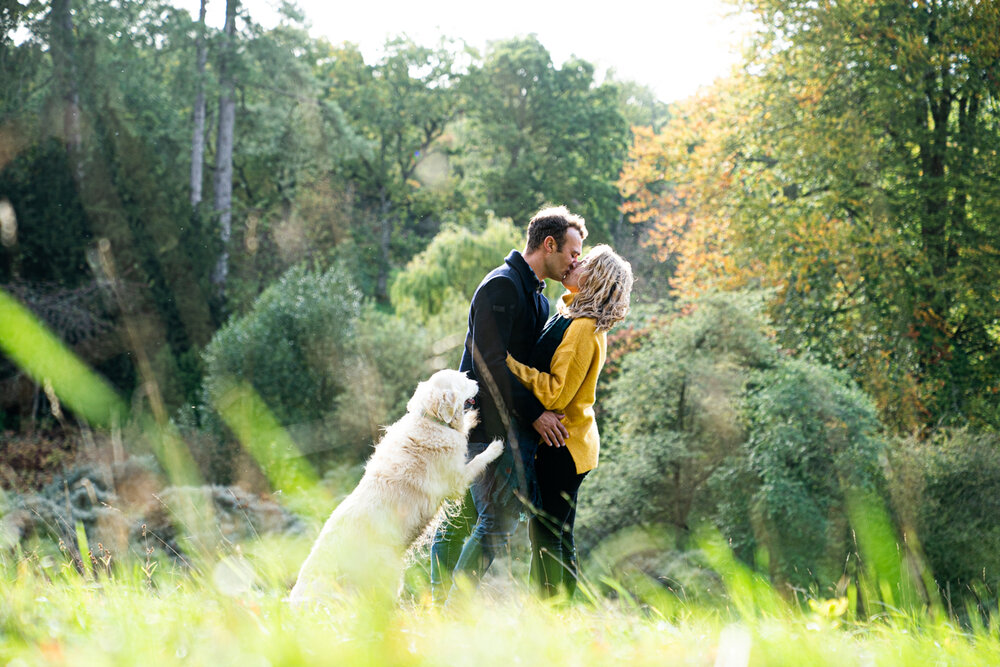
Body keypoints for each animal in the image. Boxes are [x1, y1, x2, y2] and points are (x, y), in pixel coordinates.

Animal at [288, 370, 504, 604]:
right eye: (464, 381)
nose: (477, 381)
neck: (431, 420)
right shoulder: (456, 480)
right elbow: (477, 461)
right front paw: (495, 448)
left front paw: (472, 420)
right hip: (389, 574)